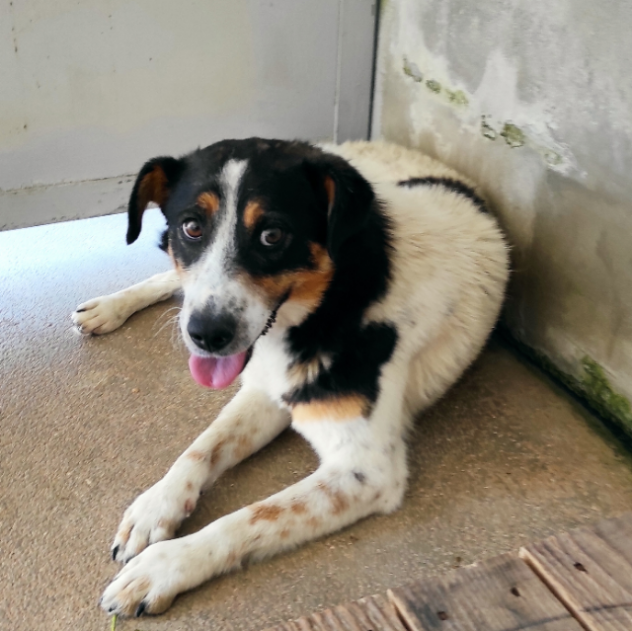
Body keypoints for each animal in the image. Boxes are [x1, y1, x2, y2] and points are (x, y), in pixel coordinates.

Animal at [73, 138, 508, 616]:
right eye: (191, 228)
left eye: (273, 235)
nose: (206, 335)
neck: (332, 303)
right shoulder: (263, 389)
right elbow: (200, 448)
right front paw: (155, 506)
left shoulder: (366, 470)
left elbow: (248, 516)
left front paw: (163, 567)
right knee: (170, 279)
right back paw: (109, 308)